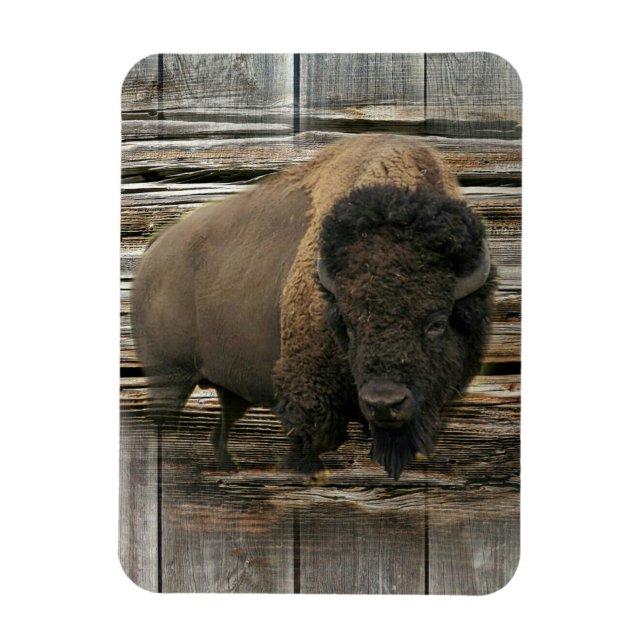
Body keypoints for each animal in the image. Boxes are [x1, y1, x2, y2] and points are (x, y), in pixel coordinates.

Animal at [131, 134, 495, 480]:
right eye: (346, 324)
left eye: (436, 323)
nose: (383, 403)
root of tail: (153, 250)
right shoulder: (309, 397)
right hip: (168, 378)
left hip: (224, 387)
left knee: (220, 431)